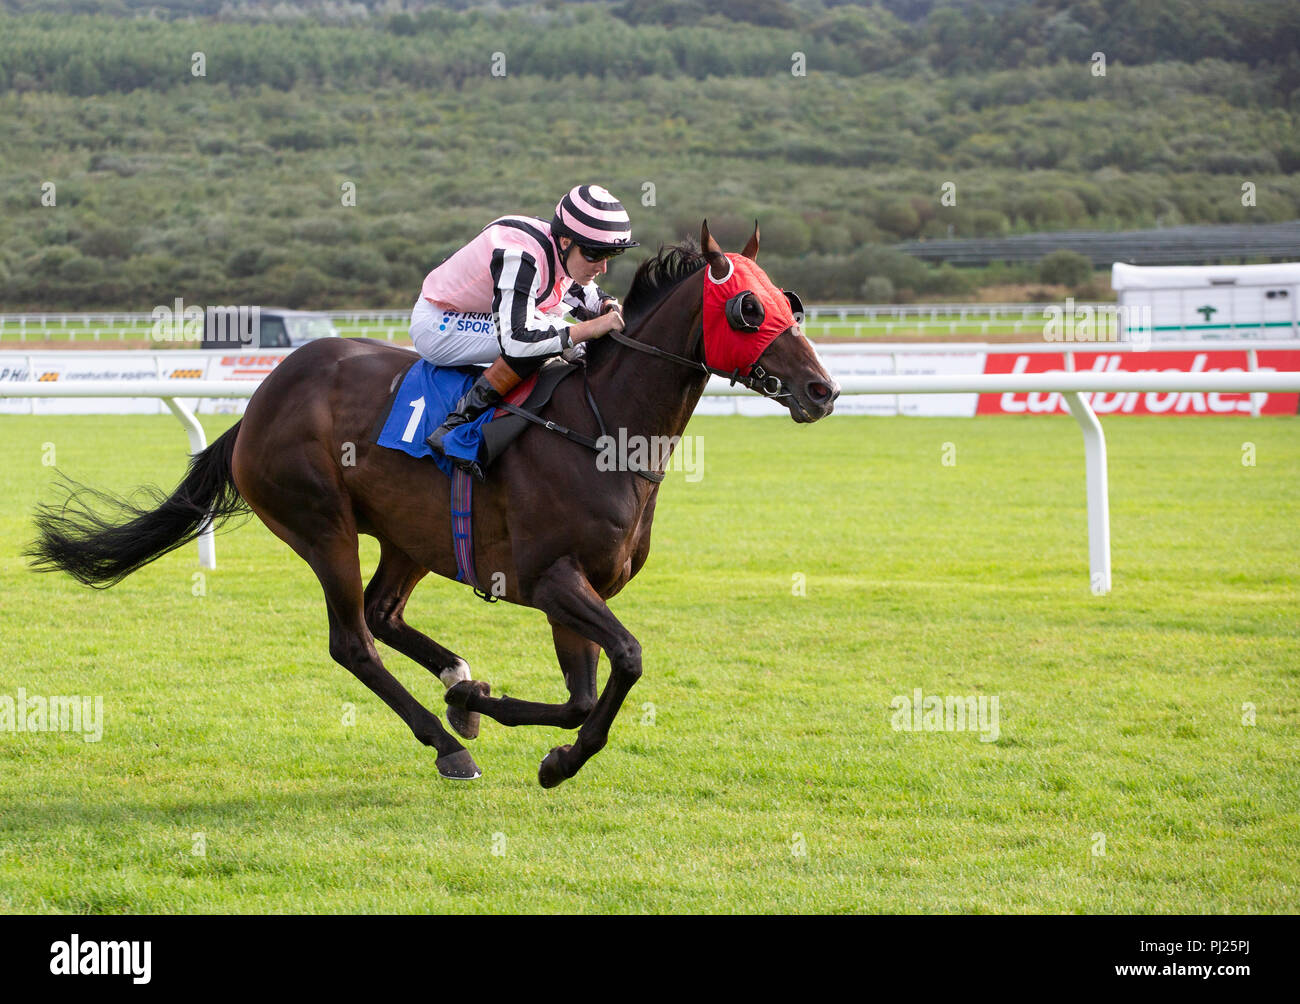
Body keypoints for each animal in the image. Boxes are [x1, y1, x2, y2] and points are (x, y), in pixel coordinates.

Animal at [30, 223, 842, 790]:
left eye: (790, 302)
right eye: (748, 308)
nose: (822, 390)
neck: (602, 428)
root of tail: (261, 400)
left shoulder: (577, 589)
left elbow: (584, 696)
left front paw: (501, 717)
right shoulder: (552, 578)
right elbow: (628, 661)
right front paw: (539, 749)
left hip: (410, 537)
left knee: (384, 613)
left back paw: (459, 685)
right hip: (323, 525)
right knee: (353, 639)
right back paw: (447, 743)